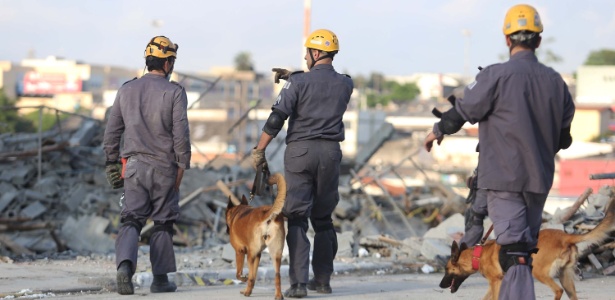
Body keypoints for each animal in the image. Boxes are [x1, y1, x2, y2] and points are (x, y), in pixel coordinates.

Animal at [440, 197, 615, 300]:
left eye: (447, 269)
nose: (441, 285)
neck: (478, 255)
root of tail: (564, 236)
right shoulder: (495, 284)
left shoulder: (496, 283)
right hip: (565, 278)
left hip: (539, 272)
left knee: (558, 291)